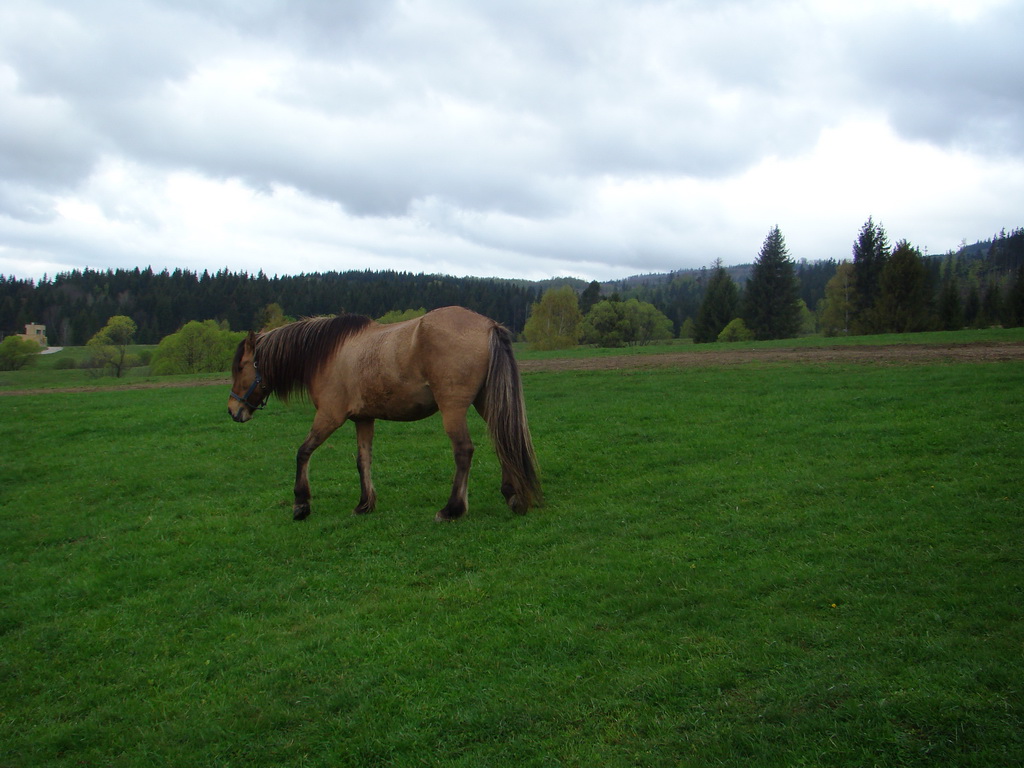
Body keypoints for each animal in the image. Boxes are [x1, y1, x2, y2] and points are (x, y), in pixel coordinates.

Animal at [226, 307, 544, 524]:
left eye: (241, 367)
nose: (232, 410)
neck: (328, 353)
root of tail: (488, 325)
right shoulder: (363, 419)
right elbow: (362, 460)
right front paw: (365, 504)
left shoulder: (329, 416)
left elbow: (303, 452)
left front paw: (301, 505)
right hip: (486, 402)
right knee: (503, 441)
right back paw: (513, 495)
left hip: (453, 409)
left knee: (464, 451)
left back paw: (452, 509)